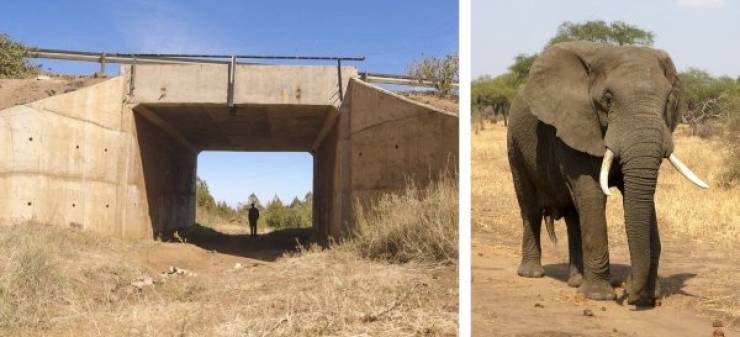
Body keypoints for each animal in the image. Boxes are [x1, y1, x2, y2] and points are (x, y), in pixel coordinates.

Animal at [506, 40, 708, 306]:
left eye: (667, 100)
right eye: (608, 99)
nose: (630, 294)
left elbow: (637, 196)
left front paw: (646, 294)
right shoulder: (575, 124)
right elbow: (592, 194)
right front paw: (599, 297)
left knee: (574, 215)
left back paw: (576, 282)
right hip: (515, 146)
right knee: (529, 207)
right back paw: (532, 274)